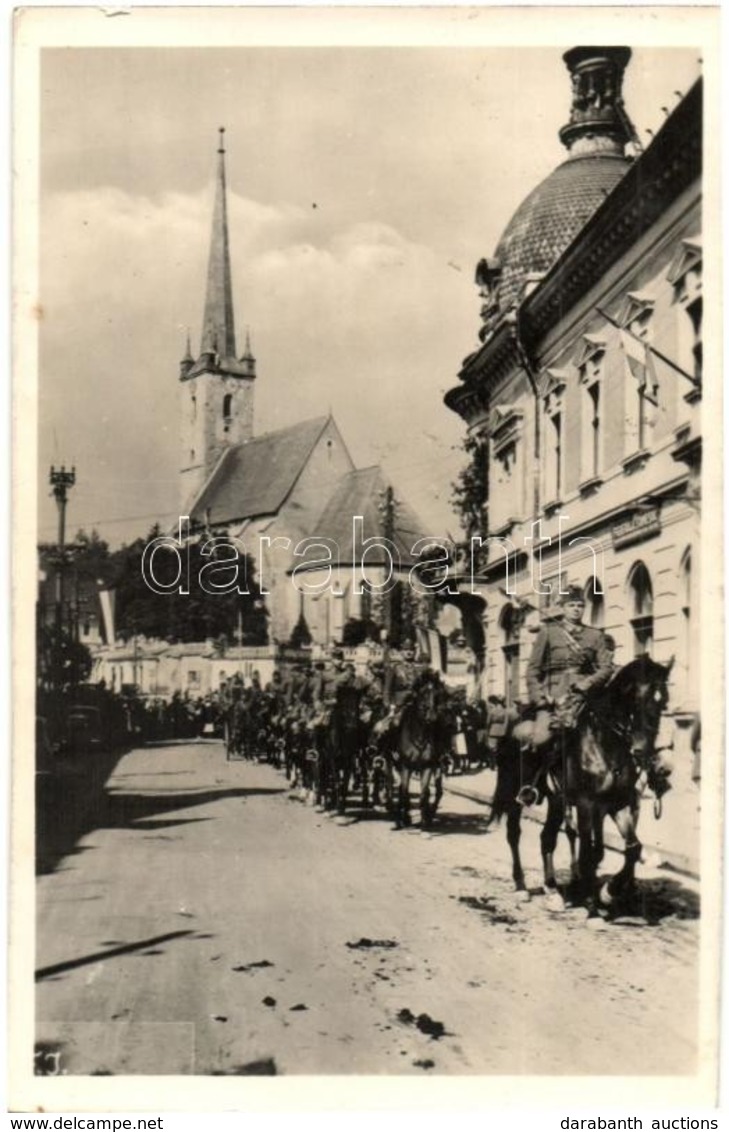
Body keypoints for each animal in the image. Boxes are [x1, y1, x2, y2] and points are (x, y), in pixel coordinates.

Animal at [489, 656, 670, 919]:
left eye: (663, 701)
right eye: (636, 698)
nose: (643, 751)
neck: (606, 744)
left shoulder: (618, 804)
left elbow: (632, 849)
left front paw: (608, 892)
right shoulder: (587, 805)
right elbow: (587, 854)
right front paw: (592, 908)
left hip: (555, 800)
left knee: (547, 838)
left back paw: (553, 890)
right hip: (515, 793)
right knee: (514, 833)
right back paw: (521, 886)